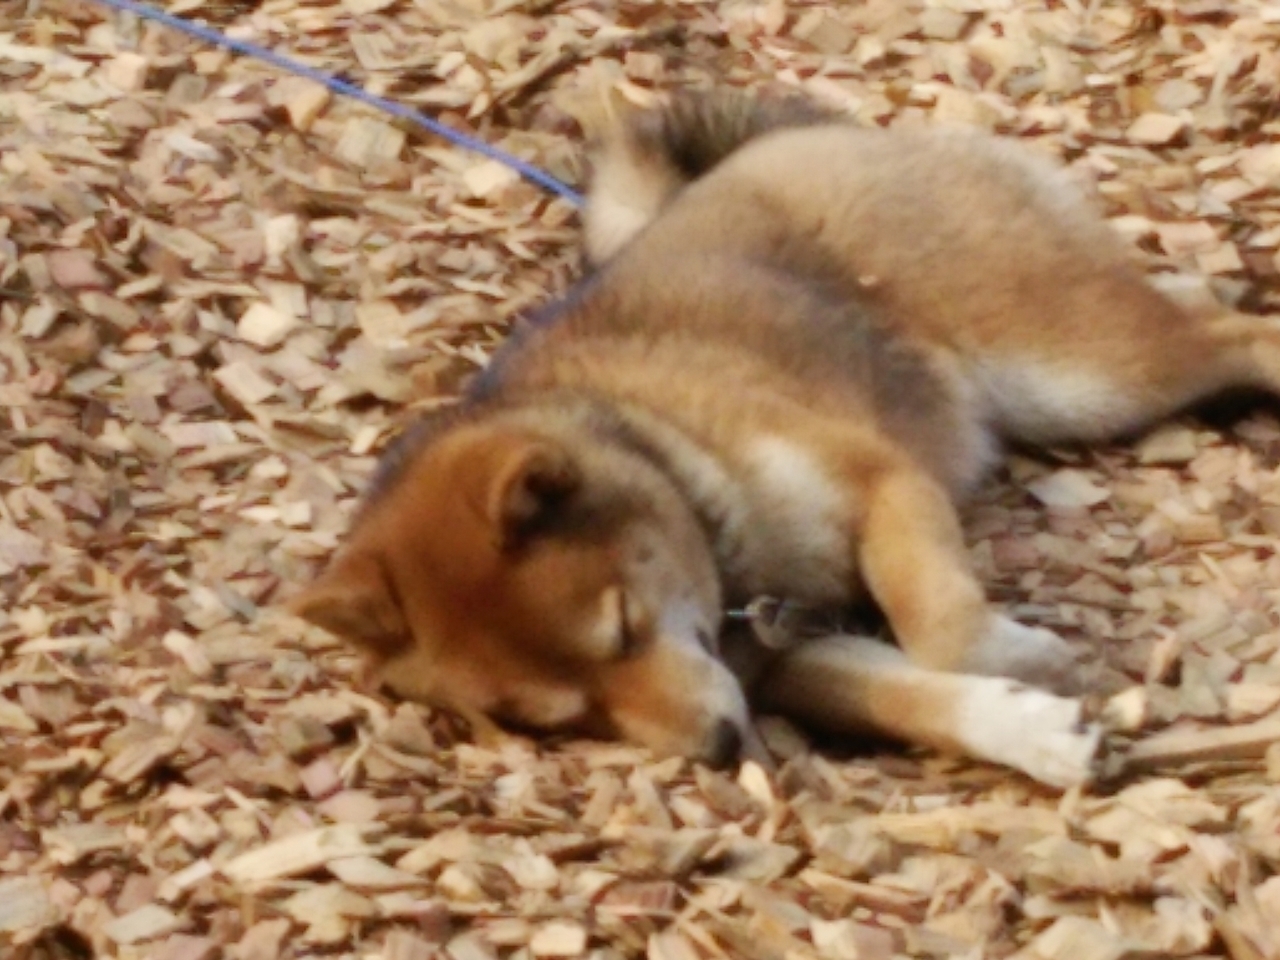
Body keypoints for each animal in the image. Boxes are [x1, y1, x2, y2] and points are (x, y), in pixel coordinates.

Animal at [294, 88, 1280, 788]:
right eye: (556, 721)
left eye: (622, 628)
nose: (720, 747)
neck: (675, 462)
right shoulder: (788, 655)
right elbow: (913, 693)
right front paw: (1035, 733)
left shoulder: (884, 483)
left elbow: (942, 633)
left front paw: (1030, 661)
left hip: (1078, 374)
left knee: (1234, 332)